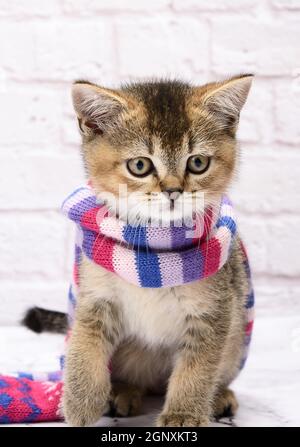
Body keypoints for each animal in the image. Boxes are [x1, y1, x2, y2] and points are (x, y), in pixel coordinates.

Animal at [28, 76, 253, 428]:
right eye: (139, 165)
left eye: (197, 162)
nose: (173, 191)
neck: (153, 254)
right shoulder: (94, 295)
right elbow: (84, 346)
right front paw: (79, 403)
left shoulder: (213, 311)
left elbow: (197, 370)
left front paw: (183, 415)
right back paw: (121, 393)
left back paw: (219, 398)